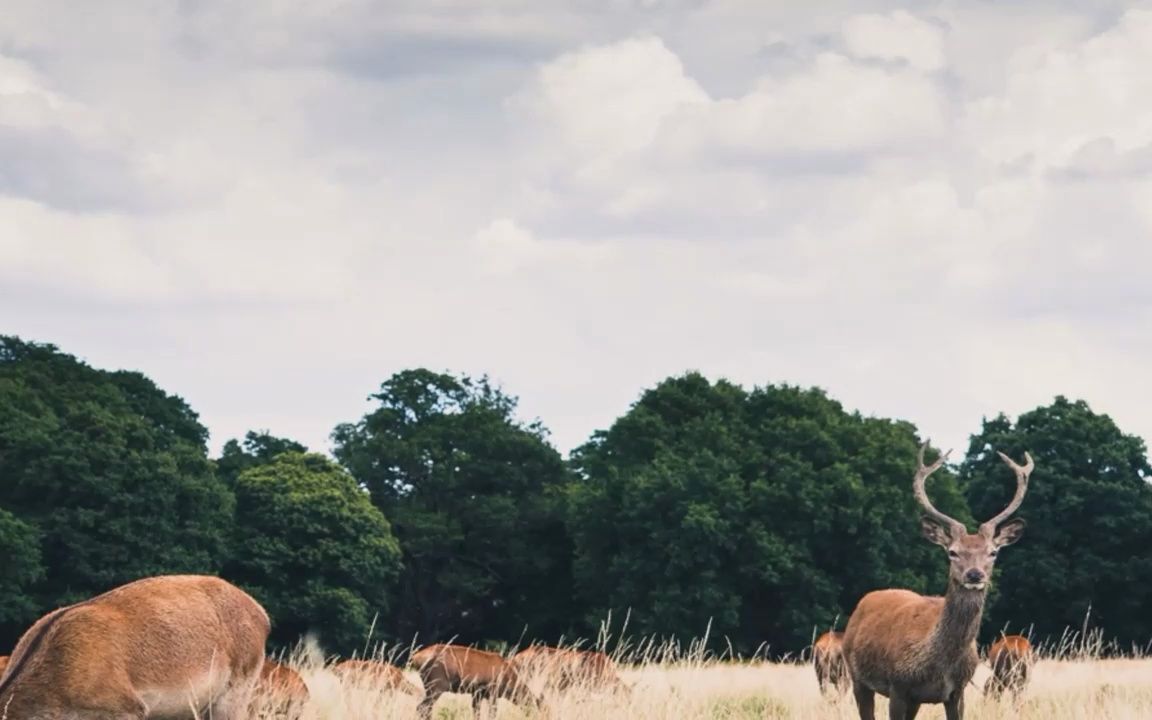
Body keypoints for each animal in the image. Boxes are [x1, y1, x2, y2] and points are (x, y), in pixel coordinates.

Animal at [410, 645, 543, 714]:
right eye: (539, 708)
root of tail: (415, 658)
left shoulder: (477, 693)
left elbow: (476, 712)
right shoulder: (492, 691)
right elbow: (492, 713)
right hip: (437, 684)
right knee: (422, 707)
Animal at [838, 444, 1036, 718]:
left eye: (993, 552)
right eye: (952, 552)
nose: (974, 575)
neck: (939, 666)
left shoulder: (956, 691)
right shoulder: (898, 686)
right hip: (857, 676)